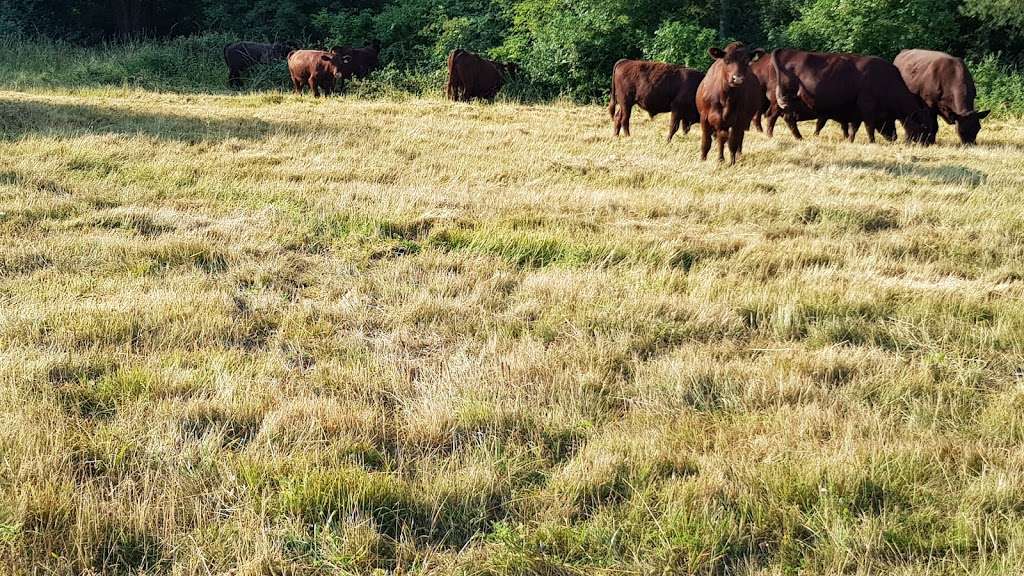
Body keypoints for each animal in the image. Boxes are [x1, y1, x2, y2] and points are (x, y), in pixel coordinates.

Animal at [770, 48, 933, 144]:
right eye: (924, 126)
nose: (928, 143)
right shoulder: (867, 109)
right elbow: (869, 127)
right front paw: (871, 141)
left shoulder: (856, 112)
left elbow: (853, 127)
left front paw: (850, 140)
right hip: (788, 102)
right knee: (787, 119)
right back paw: (798, 137)